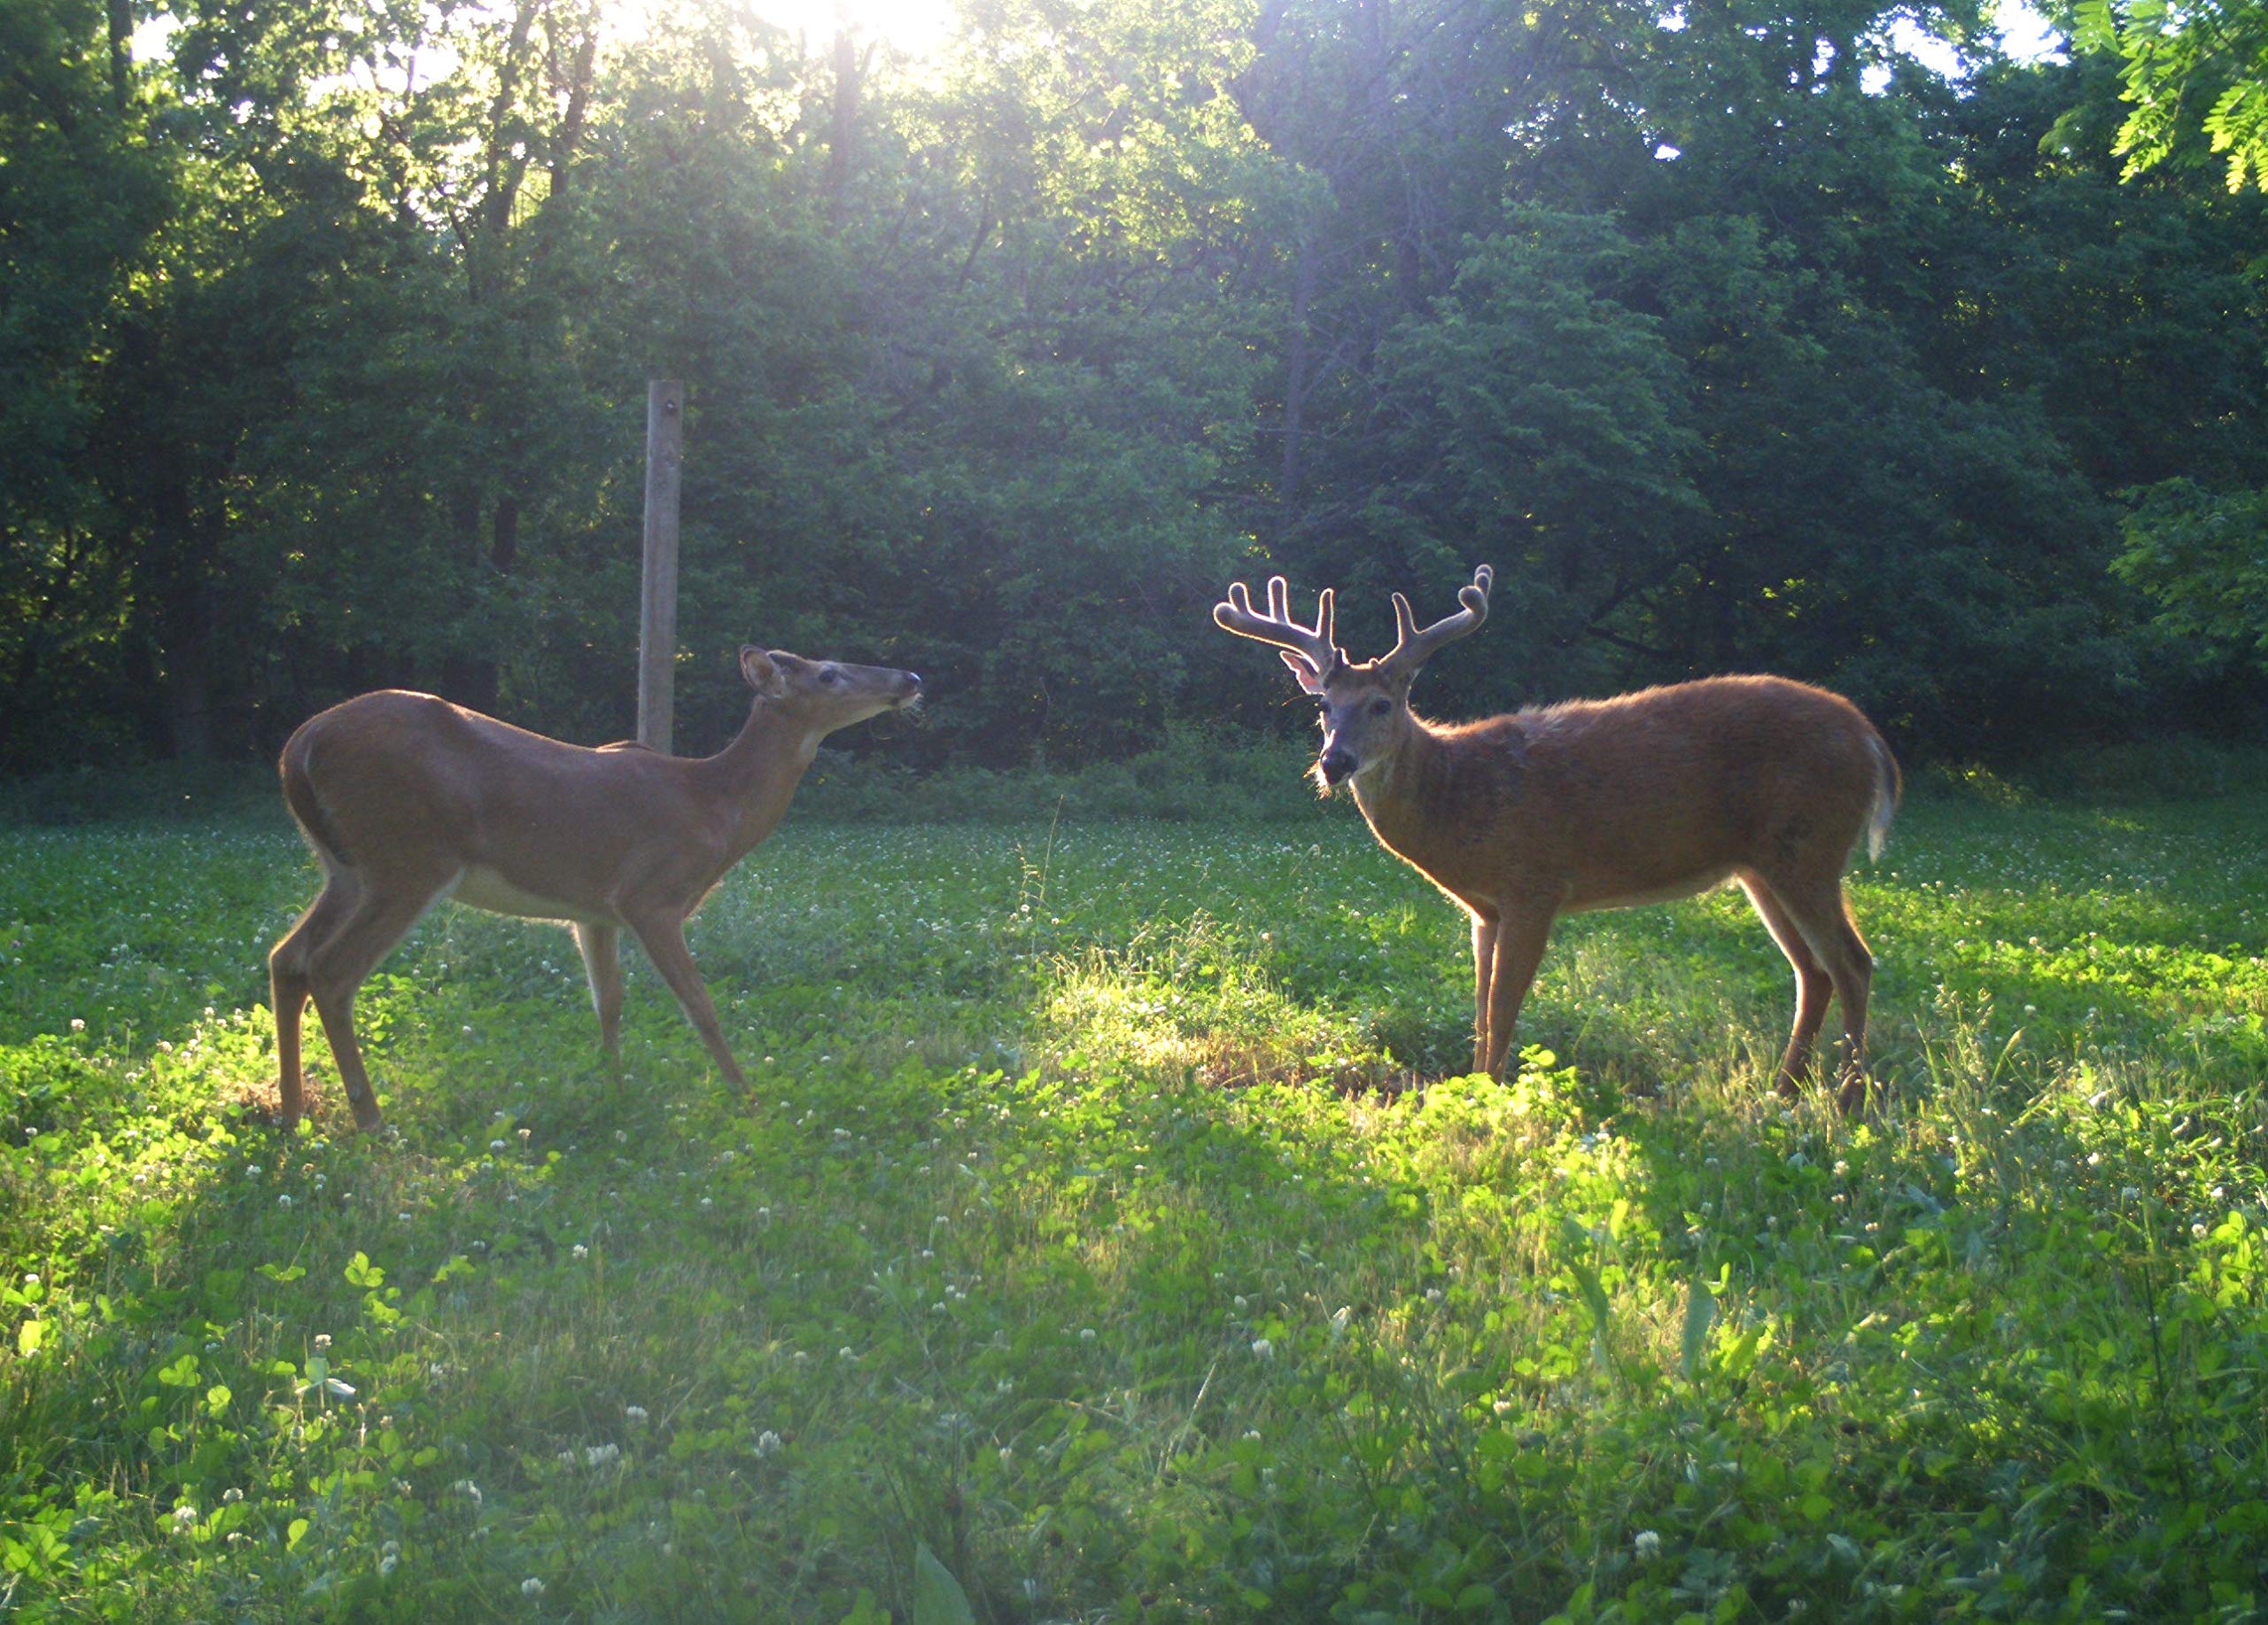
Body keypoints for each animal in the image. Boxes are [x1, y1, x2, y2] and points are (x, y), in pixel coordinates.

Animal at [267, 646, 922, 1132]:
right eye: (829, 672)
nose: (911, 677)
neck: (713, 805)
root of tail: (298, 748)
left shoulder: (593, 911)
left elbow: (609, 1002)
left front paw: (615, 1091)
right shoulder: (651, 895)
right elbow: (699, 1003)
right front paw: (745, 1096)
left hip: (346, 867)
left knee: (287, 956)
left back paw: (292, 1113)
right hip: (406, 856)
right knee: (331, 970)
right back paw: (372, 1121)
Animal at [1214, 567, 1899, 1112]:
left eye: (1383, 704)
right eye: (1324, 706)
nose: (1334, 762)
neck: (1459, 799)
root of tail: (1871, 740)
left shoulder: (1535, 884)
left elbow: (1504, 1006)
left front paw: (1490, 1098)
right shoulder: (1483, 911)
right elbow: (1481, 1007)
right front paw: (1471, 1088)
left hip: (1809, 847)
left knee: (1853, 961)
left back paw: (1848, 1100)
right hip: (1764, 865)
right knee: (1813, 970)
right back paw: (1782, 1091)